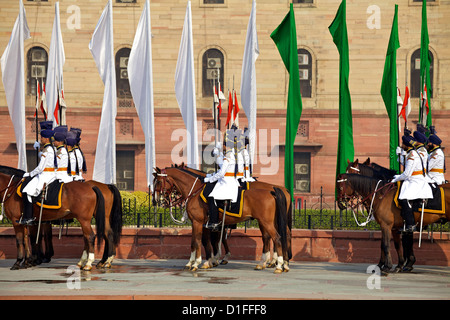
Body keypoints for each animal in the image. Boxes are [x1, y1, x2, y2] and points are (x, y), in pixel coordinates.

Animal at [153, 166, 290, 274]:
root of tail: (272, 191)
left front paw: (197, 263)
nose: (156, 200)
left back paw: (278, 265)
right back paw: (278, 264)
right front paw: (195, 262)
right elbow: (199, 242)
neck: (195, 190)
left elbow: (198, 242)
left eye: (158, 181)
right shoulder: (203, 224)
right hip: (269, 222)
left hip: (266, 222)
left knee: (277, 238)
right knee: (276, 237)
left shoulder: (198, 222)